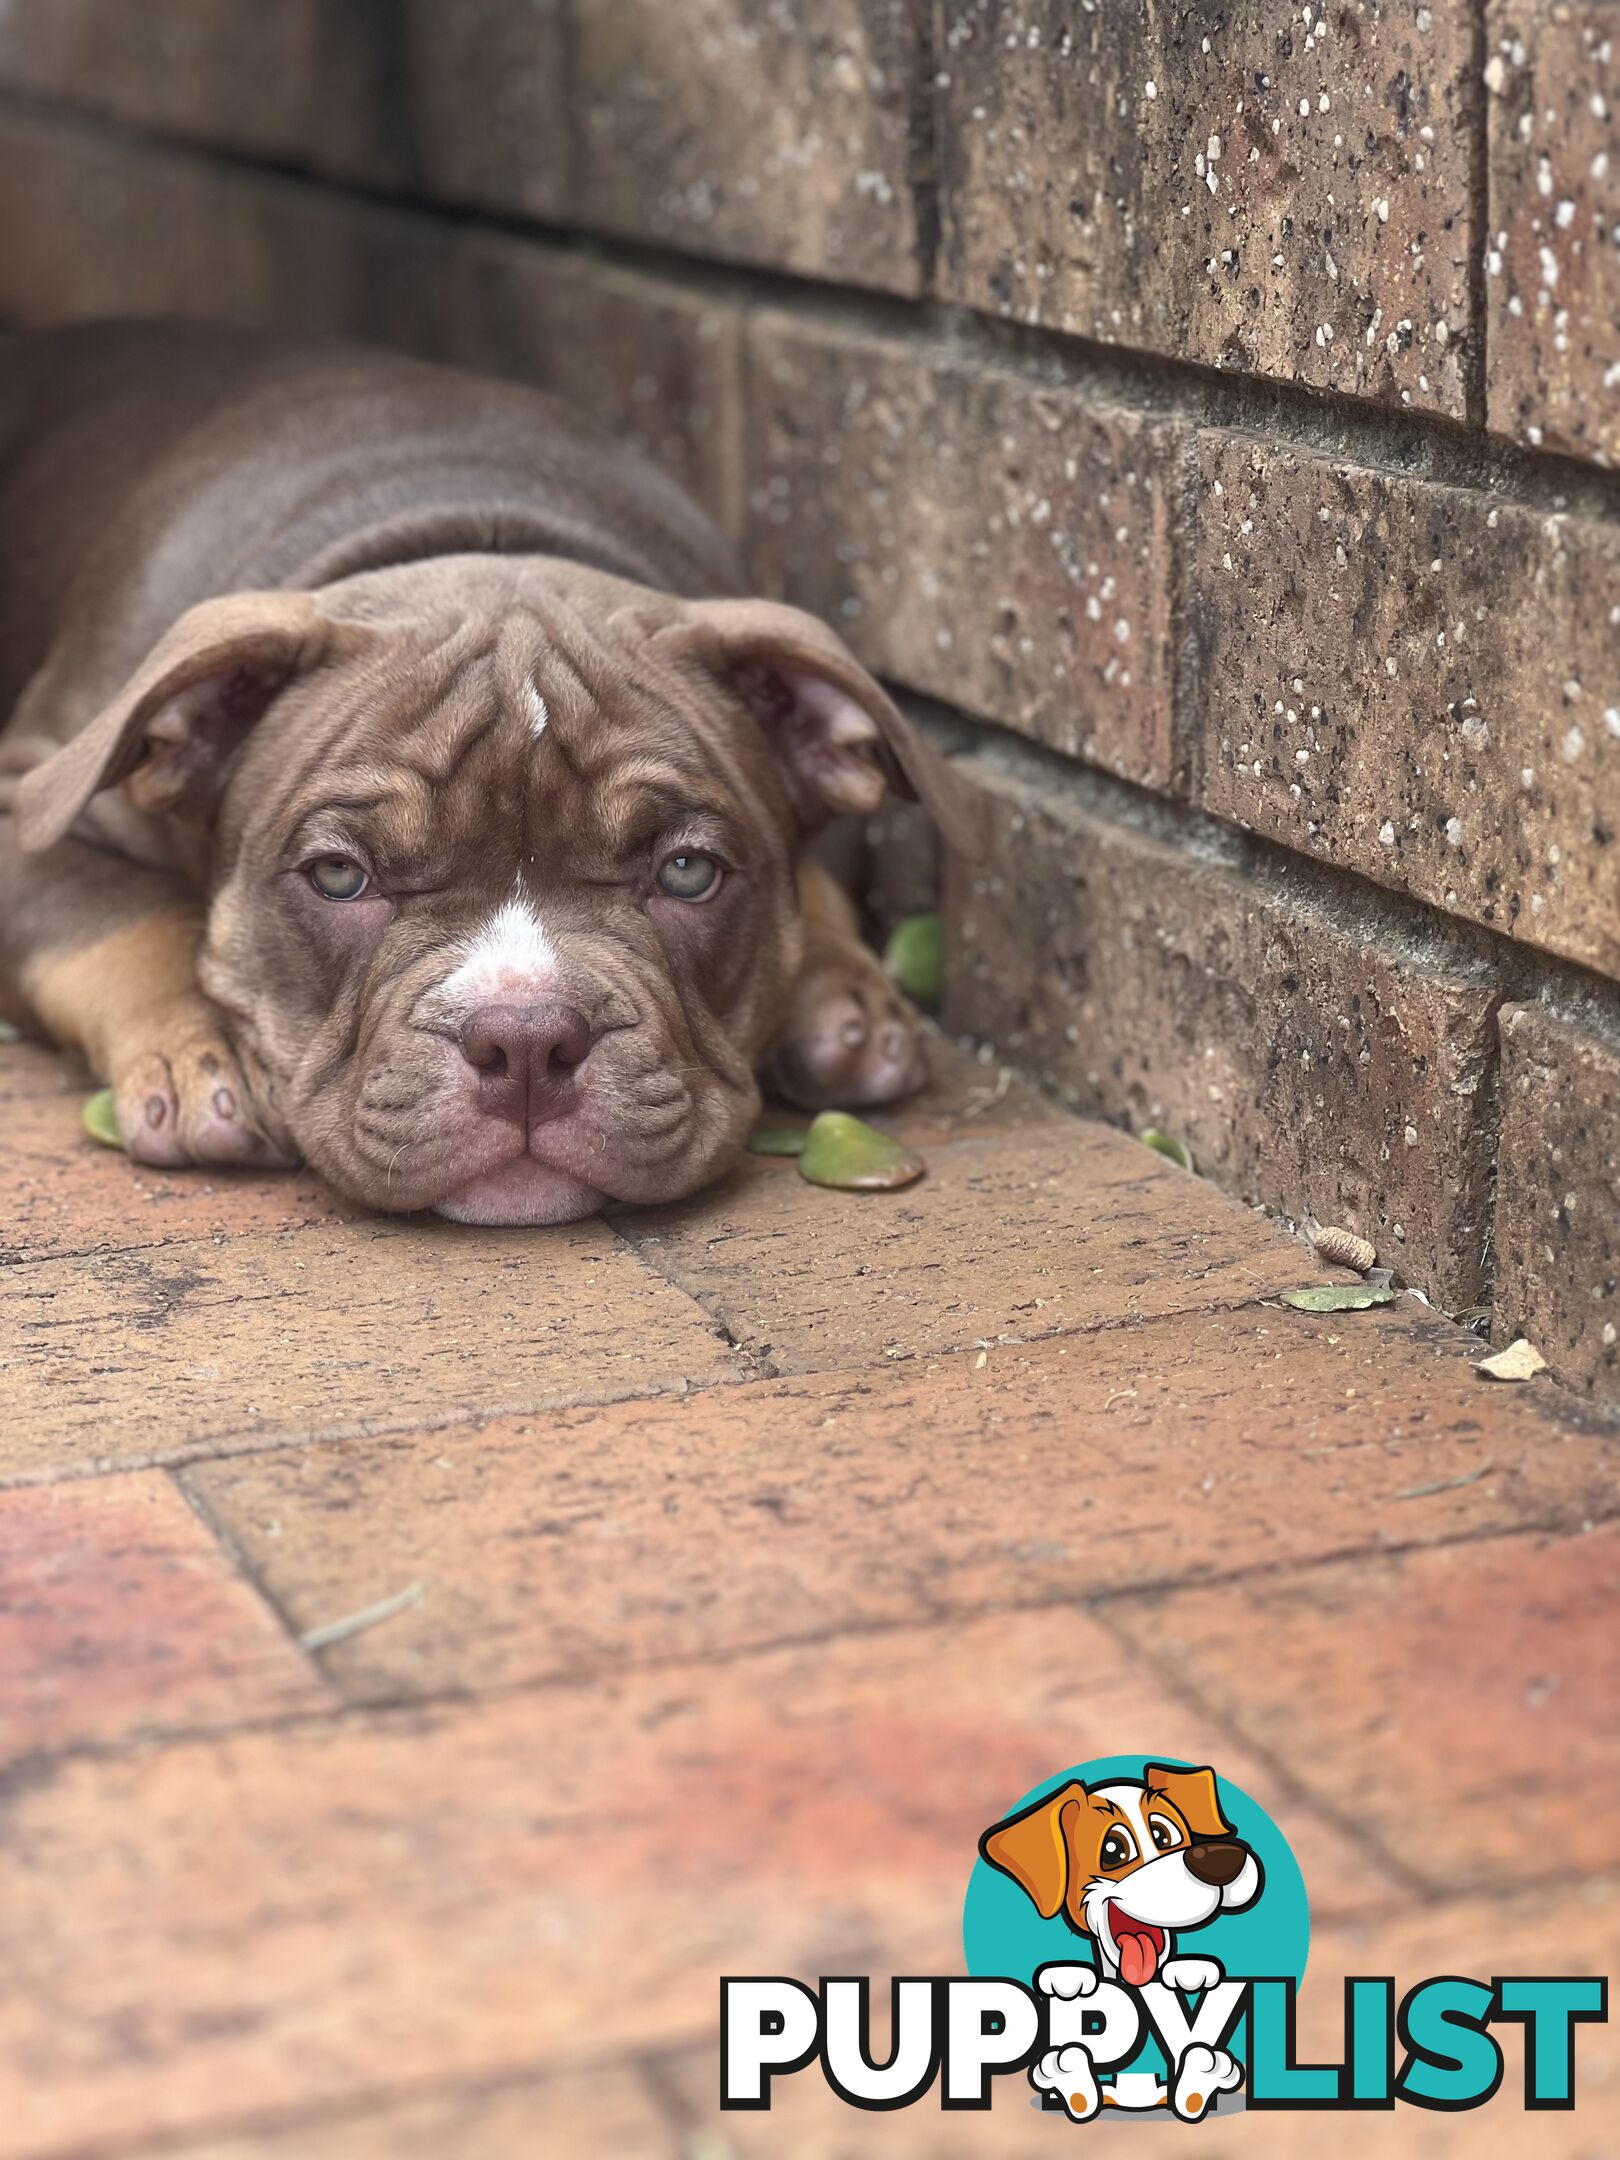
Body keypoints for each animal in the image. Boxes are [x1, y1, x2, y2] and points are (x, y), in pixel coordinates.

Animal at [0, 328, 976, 1226]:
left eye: (688, 872)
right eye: (339, 876)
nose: (527, 1041)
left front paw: (840, 989)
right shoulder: (28, 797)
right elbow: (122, 914)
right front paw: (201, 1049)